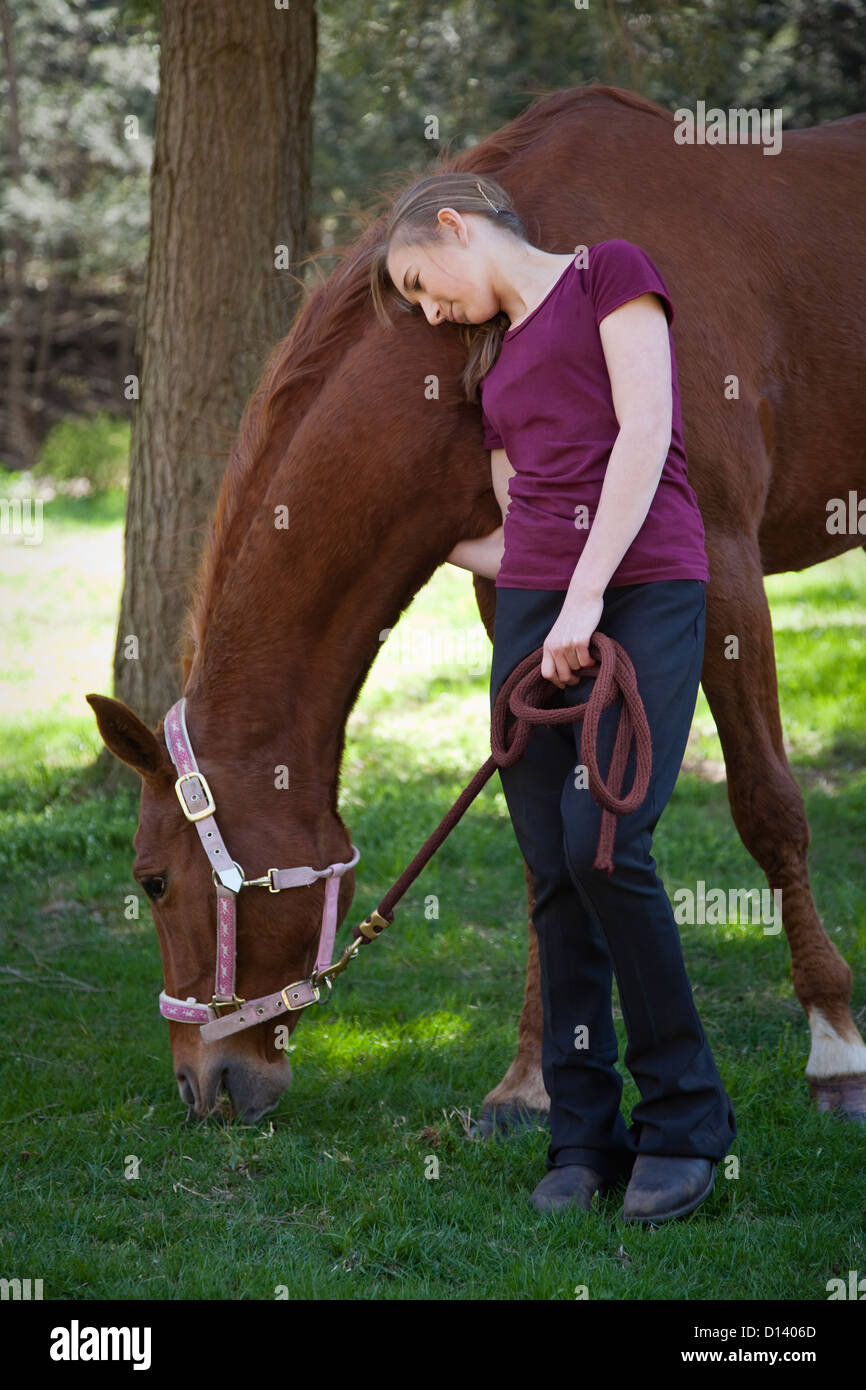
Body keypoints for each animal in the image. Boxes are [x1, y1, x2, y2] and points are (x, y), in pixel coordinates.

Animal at [88, 83, 866, 1126]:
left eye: (153, 880)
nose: (200, 1086)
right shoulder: (519, 594)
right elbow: (541, 836)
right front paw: (533, 1080)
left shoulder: (725, 567)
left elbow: (769, 807)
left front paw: (835, 1046)